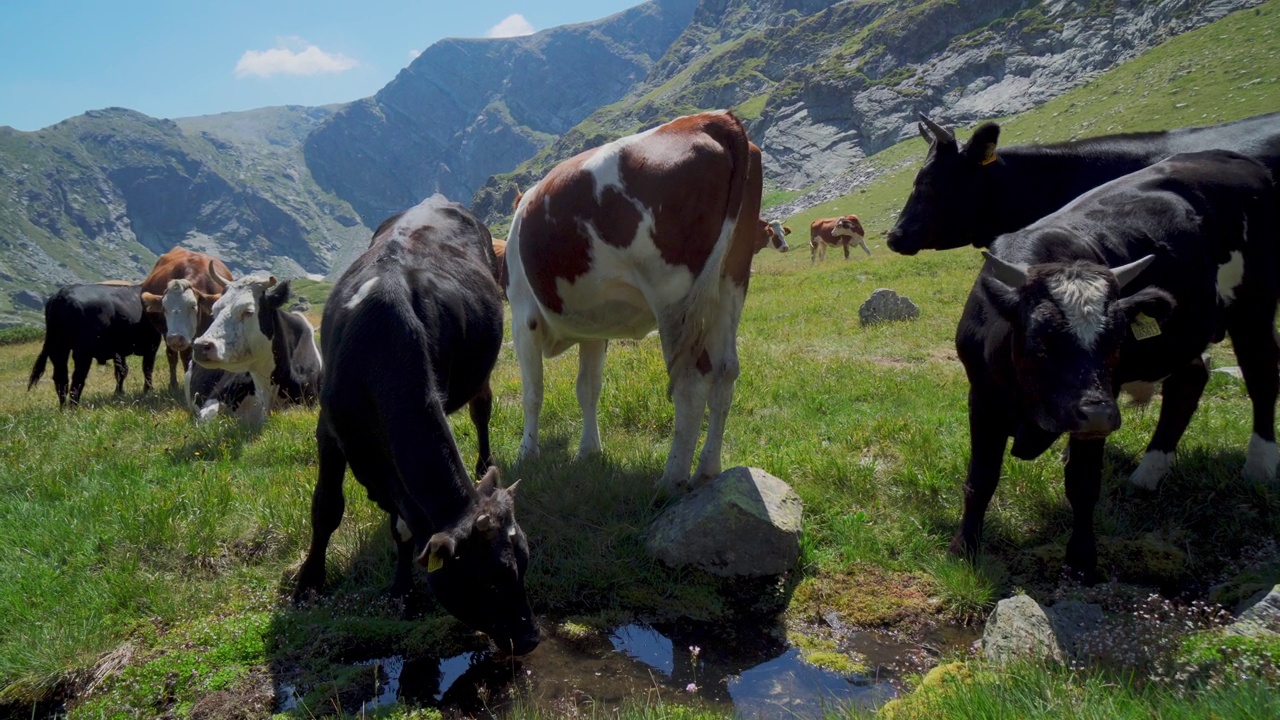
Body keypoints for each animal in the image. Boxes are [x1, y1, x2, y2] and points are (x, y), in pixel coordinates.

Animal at [28, 283, 160, 407]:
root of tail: (63, 294)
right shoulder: (152, 345)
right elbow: (147, 368)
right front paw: (148, 390)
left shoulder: (118, 350)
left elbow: (121, 370)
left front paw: (119, 393)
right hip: (82, 351)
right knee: (77, 378)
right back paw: (73, 406)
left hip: (58, 347)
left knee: (61, 378)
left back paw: (63, 407)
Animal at [142, 245, 235, 386]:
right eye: (164, 308)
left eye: (193, 306)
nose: (175, 338)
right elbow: (185, 358)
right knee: (172, 356)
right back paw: (173, 384)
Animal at [293, 193, 537, 653]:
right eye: (491, 581)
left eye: (525, 561)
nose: (531, 637)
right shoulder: (330, 429)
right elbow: (326, 507)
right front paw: (309, 582)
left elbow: (404, 527)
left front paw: (401, 589)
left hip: (480, 371)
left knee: (482, 409)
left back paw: (483, 463)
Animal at [957, 149, 1274, 576]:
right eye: (1041, 339)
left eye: (1116, 339)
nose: (1099, 414)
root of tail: (1236, 158)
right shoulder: (983, 398)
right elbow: (981, 478)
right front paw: (964, 548)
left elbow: (1083, 482)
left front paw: (1081, 558)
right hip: (1188, 335)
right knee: (1189, 382)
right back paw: (1148, 474)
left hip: (1254, 308)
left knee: (1262, 375)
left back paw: (1260, 468)